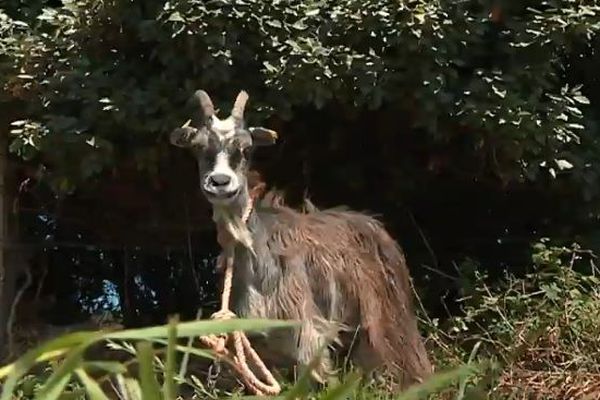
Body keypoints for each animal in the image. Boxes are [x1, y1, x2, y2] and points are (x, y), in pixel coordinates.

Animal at [169, 90, 432, 388]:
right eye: (199, 148)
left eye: (246, 149)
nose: (220, 182)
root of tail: (373, 223)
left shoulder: (305, 330)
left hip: (387, 315)